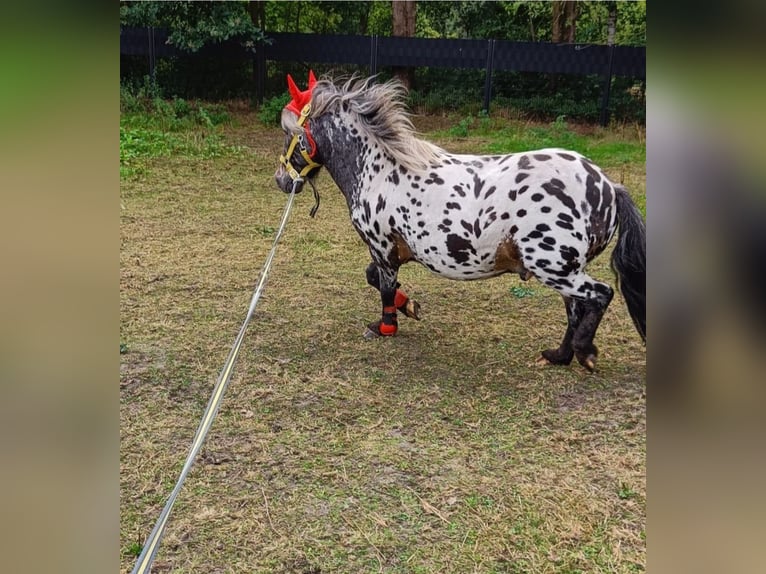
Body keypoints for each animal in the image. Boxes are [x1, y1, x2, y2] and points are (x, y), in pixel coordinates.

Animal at [274, 72, 645, 371]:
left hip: (553, 266)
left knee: (600, 295)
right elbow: (375, 280)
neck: (379, 170)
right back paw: (558, 356)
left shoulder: (381, 248)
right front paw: (410, 307)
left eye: (289, 134)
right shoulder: (390, 252)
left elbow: (384, 287)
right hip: (564, 269)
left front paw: (385, 326)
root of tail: (608, 186)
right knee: (576, 309)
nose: (281, 180)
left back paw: (585, 352)